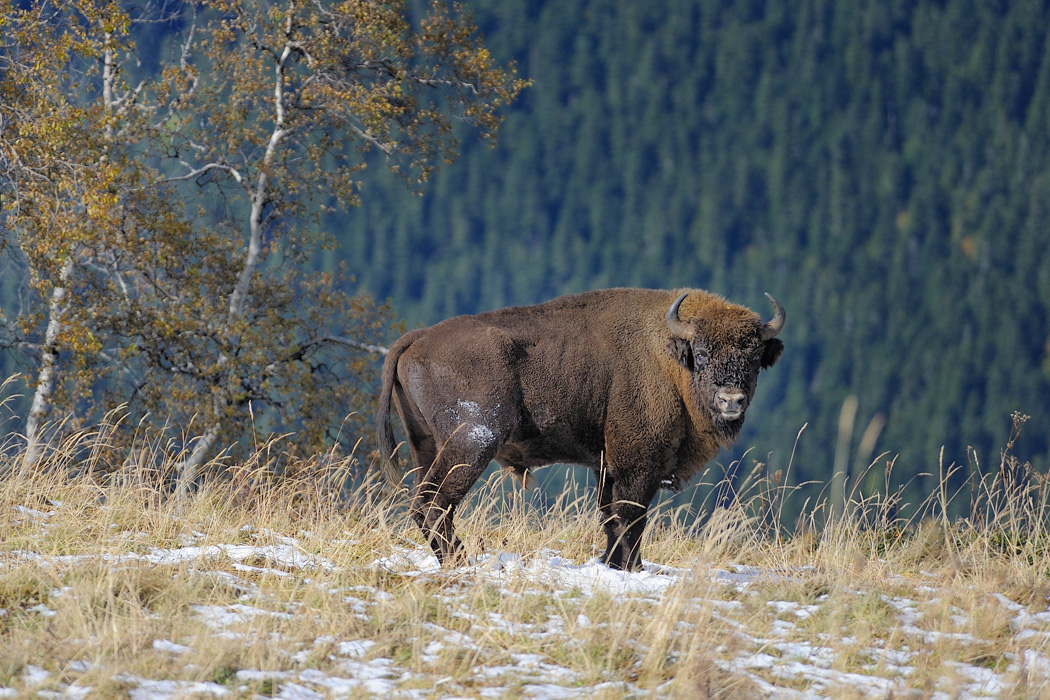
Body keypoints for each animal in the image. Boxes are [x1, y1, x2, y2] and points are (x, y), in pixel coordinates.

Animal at [373, 287, 785, 570]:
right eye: (701, 354)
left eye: (754, 357)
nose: (731, 400)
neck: (668, 358)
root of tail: (417, 338)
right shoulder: (638, 465)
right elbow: (629, 517)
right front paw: (631, 568)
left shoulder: (607, 466)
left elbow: (610, 516)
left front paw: (612, 565)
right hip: (471, 444)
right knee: (435, 502)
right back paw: (462, 562)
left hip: (426, 446)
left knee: (425, 503)